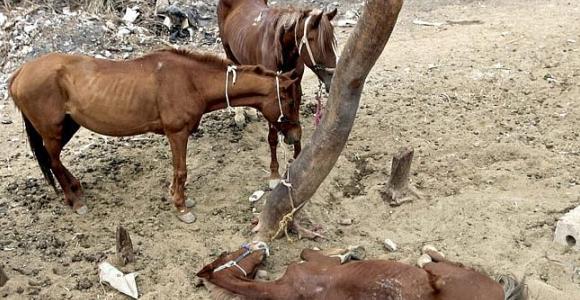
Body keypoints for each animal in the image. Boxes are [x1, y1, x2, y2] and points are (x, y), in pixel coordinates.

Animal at [7, 48, 300, 223]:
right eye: (289, 101)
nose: (296, 136)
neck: (191, 81)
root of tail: (20, 73)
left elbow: (176, 171)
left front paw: (177, 196)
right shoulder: (177, 133)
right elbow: (181, 170)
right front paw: (181, 207)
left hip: (68, 127)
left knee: (54, 160)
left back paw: (76, 188)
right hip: (53, 130)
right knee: (53, 161)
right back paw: (74, 200)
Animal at [218, 0, 338, 190]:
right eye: (315, 41)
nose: (332, 79)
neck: (281, 51)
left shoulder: (295, 87)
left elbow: (296, 125)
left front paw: (297, 160)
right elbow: (273, 137)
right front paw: (274, 174)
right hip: (228, 50)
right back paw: (239, 115)